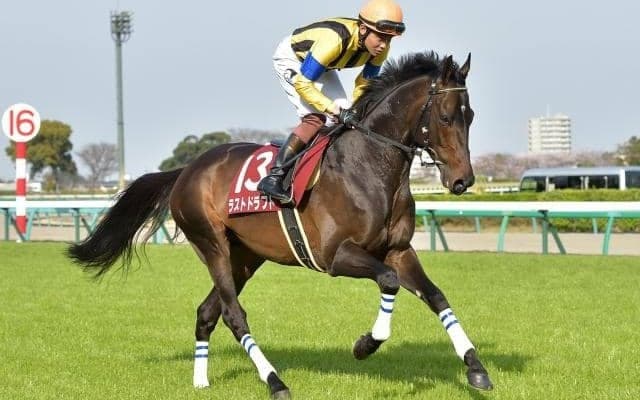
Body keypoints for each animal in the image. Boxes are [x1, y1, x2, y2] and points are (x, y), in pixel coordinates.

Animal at [68, 51, 492, 399]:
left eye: (471, 116)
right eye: (445, 116)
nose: (463, 181)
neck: (369, 166)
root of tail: (187, 170)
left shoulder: (398, 250)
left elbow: (436, 296)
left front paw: (476, 369)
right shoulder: (336, 256)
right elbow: (388, 282)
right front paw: (365, 344)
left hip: (244, 257)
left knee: (207, 312)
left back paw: (201, 382)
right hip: (212, 245)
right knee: (233, 314)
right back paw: (275, 382)